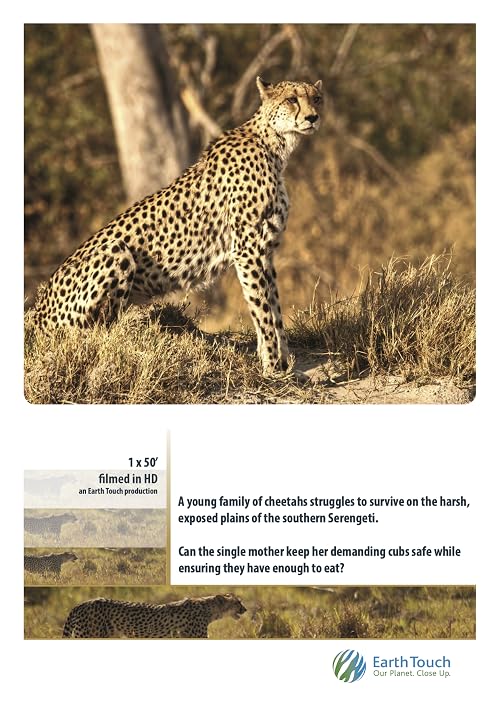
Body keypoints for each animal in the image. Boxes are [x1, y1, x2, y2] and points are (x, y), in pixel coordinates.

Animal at [33, 77, 323, 375]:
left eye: (316, 98)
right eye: (291, 99)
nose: (313, 117)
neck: (275, 145)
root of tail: (36, 314)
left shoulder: (265, 251)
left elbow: (274, 307)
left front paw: (283, 360)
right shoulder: (247, 251)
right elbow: (262, 308)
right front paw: (272, 366)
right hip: (115, 250)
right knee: (98, 333)